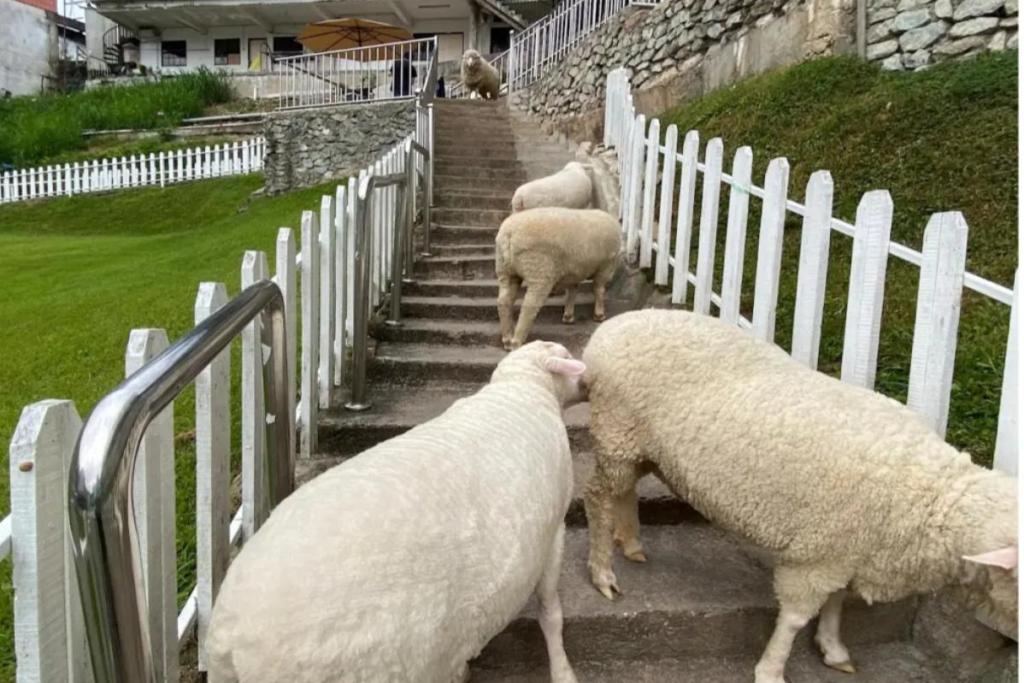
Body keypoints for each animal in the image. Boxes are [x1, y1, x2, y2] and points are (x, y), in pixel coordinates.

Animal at [206, 341, 587, 683]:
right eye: (568, 356)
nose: (588, 381)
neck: (522, 387)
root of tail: (230, 640)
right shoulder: (554, 530)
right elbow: (551, 613)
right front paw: (563, 672)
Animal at [496, 207, 622, 351]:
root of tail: (509, 234)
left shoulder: (575, 270)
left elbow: (573, 290)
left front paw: (568, 316)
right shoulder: (606, 265)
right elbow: (598, 289)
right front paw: (599, 315)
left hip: (506, 271)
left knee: (504, 301)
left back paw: (507, 338)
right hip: (539, 271)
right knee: (529, 305)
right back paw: (517, 342)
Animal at [581, 309, 1018, 683]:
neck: (934, 499)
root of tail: (611, 329)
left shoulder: (843, 549)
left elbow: (837, 600)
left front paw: (833, 648)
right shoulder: (814, 556)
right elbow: (794, 618)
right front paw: (772, 670)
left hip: (641, 446)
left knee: (624, 490)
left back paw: (631, 542)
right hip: (617, 430)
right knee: (598, 497)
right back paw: (603, 572)